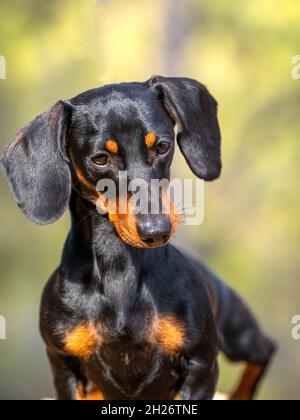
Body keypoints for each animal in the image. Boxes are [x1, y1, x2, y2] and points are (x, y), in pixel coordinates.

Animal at [1, 76, 276, 400]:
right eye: (100, 159)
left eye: (162, 146)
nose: (157, 231)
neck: (120, 270)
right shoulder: (64, 365)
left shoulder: (201, 364)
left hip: (238, 335)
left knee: (264, 350)